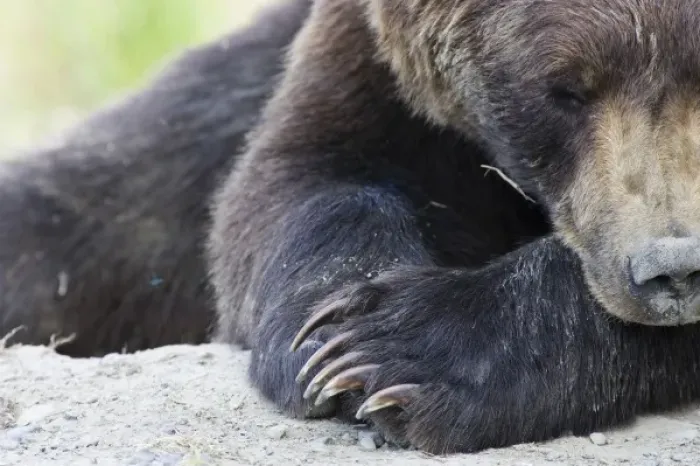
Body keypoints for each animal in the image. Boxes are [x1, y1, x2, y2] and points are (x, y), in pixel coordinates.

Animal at [4, 0, 700, 457]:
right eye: (565, 89)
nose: (672, 268)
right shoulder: (375, 74)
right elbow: (303, 179)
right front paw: (329, 340)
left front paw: (400, 351)